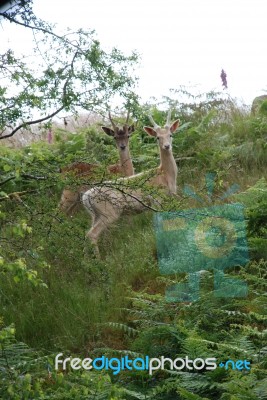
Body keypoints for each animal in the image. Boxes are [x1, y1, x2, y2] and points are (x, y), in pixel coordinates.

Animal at [82, 111, 181, 255]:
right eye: (157, 137)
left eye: (171, 135)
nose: (167, 146)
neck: (165, 175)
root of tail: (85, 196)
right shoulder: (156, 200)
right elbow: (159, 223)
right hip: (109, 212)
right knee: (91, 234)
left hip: (95, 214)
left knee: (87, 234)